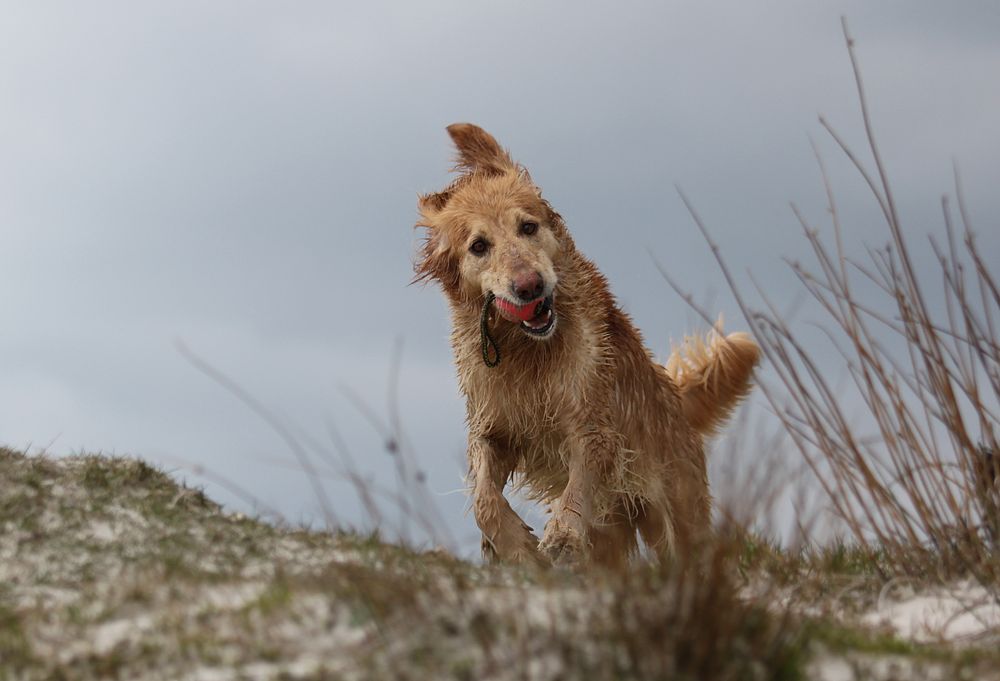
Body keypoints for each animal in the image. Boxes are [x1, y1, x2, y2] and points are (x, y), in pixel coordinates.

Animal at [415, 123, 760, 568]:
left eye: (528, 227)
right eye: (478, 246)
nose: (530, 285)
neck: (528, 350)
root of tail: (674, 397)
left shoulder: (591, 422)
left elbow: (579, 482)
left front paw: (562, 535)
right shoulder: (492, 427)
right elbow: (484, 499)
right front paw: (514, 544)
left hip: (676, 511)